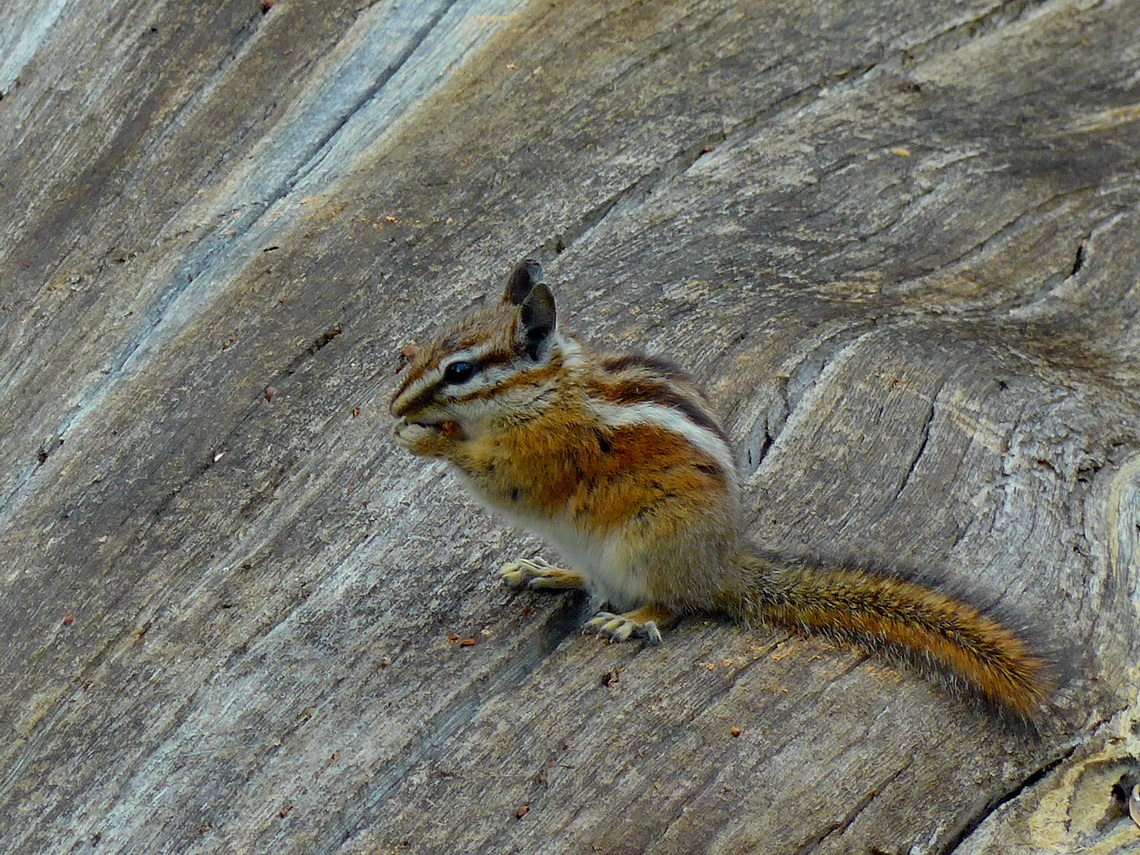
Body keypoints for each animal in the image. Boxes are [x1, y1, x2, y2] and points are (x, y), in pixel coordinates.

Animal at [389, 257, 1048, 720]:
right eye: (428, 346)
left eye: (459, 371)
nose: (393, 405)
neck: (545, 391)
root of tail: (721, 566)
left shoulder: (544, 455)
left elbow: (504, 479)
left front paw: (427, 439)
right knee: (598, 584)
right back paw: (548, 572)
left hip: (649, 544)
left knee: (673, 605)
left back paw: (632, 621)